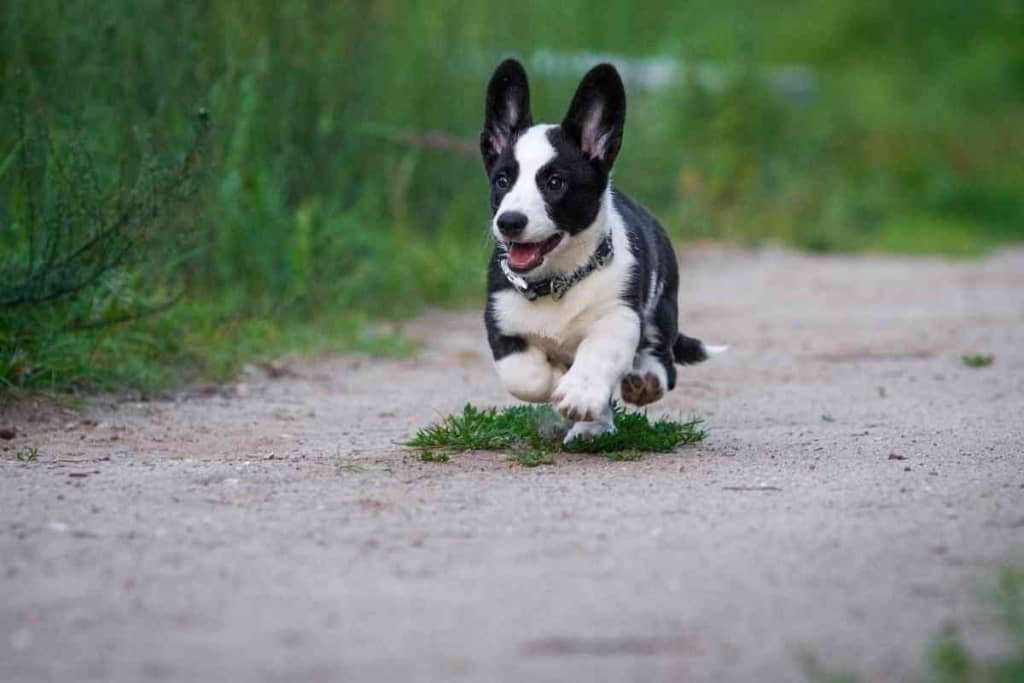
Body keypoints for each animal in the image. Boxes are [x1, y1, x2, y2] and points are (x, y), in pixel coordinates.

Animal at [479, 60, 720, 444]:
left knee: (662, 359)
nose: (510, 222)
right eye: (502, 181)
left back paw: (640, 383)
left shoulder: (618, 316)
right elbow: (525, 377)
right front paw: (557, 382)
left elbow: (597, 355)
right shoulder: (501, 322)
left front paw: (578, 393)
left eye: (555, 183)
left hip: (662, 304)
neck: (558, 280)